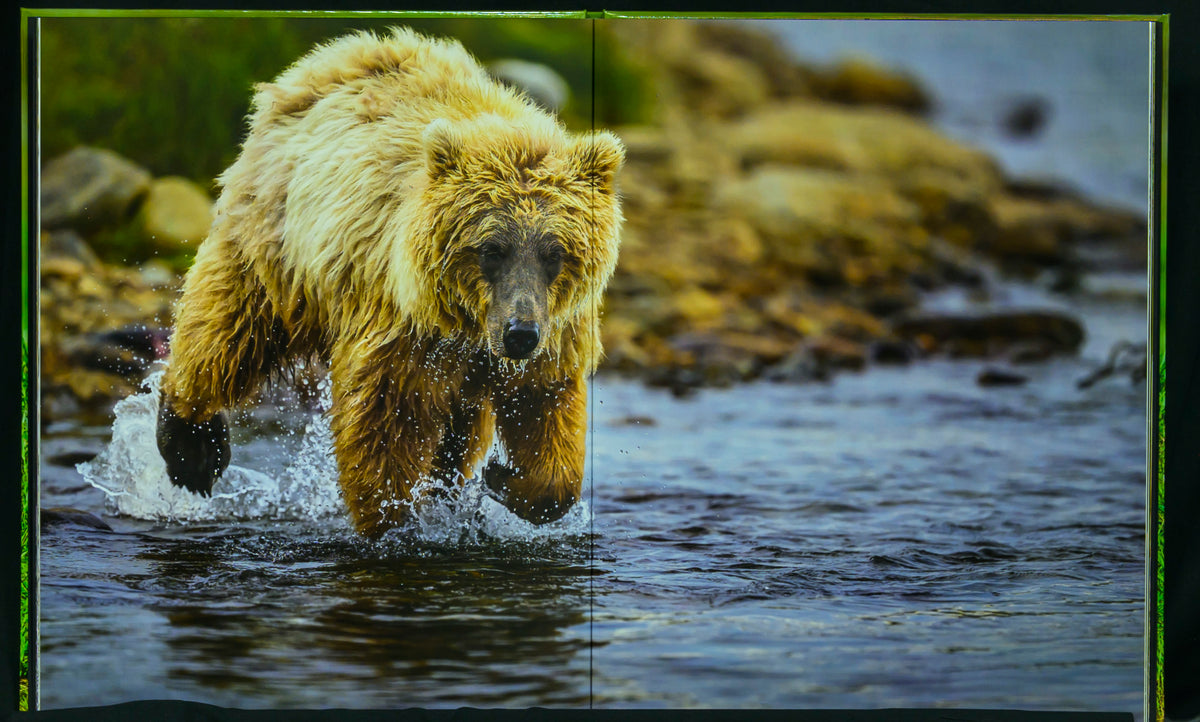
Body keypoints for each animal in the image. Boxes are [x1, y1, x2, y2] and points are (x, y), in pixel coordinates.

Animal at [154, 27, 624, 536]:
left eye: (554, 252)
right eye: (491, 249)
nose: (520, 334)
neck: (467, 323)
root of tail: (337, 54)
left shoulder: (552, 334)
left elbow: (545, 411)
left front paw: (505, 477)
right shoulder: (400, 328)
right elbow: (382, 426)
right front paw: (394, 519)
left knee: (460, 432)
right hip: (275, 247)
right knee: (226, 330)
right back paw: (191, 447)